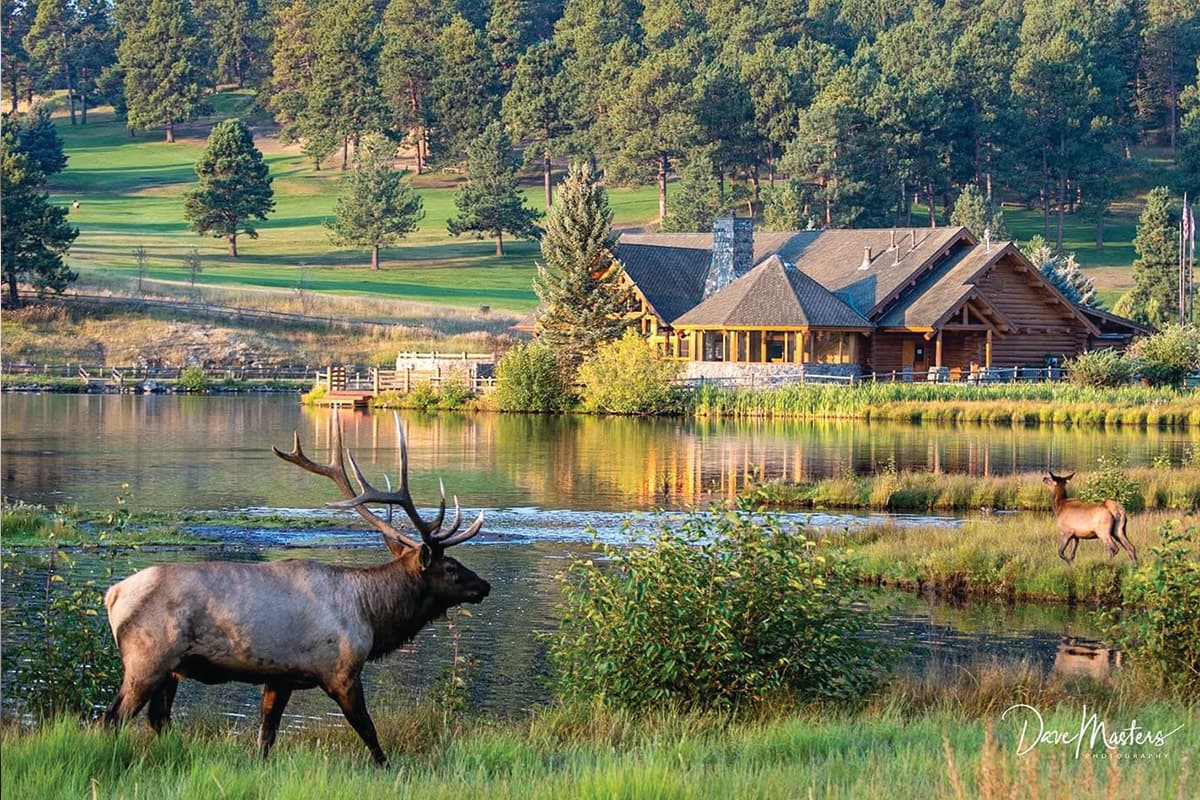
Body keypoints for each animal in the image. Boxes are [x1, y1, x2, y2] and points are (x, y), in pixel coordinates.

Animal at [102, 413, 490, 766]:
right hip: (147, 660)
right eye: (451, 568)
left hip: (170, 669)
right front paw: (388, 769)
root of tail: (113, 595)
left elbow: (266, 736)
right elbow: (369, 732)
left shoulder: (280, 677)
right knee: (113, 717)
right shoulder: (341, 672)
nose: (484, 585)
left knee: (158, 718)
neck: (371, 616)